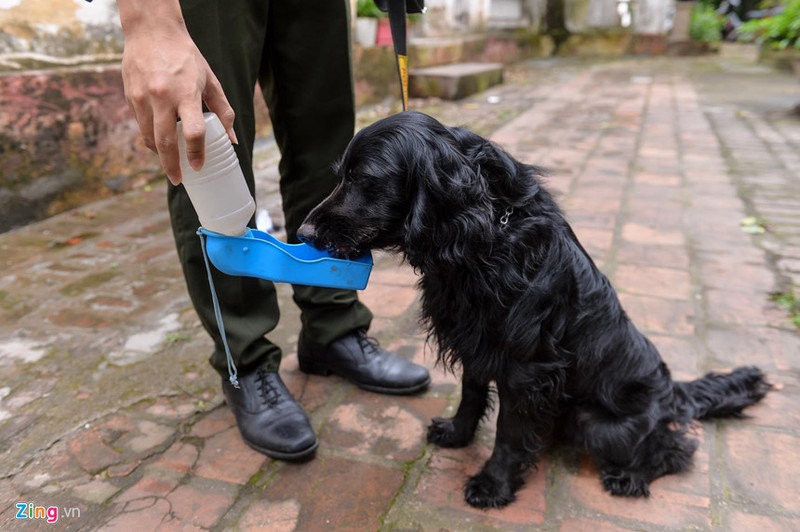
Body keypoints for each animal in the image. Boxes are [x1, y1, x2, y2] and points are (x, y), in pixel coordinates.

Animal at [296, 111, 772, 508]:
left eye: (363, 177)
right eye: (341, 175)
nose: (302, 231)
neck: (486, 238)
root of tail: (673, 393)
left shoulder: (526, 370)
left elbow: (509, 433)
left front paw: (493, 484)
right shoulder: (477, 345)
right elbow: (471, 396)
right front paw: (457, 434)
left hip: (594, 421)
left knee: (675, 449)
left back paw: (631, 477)